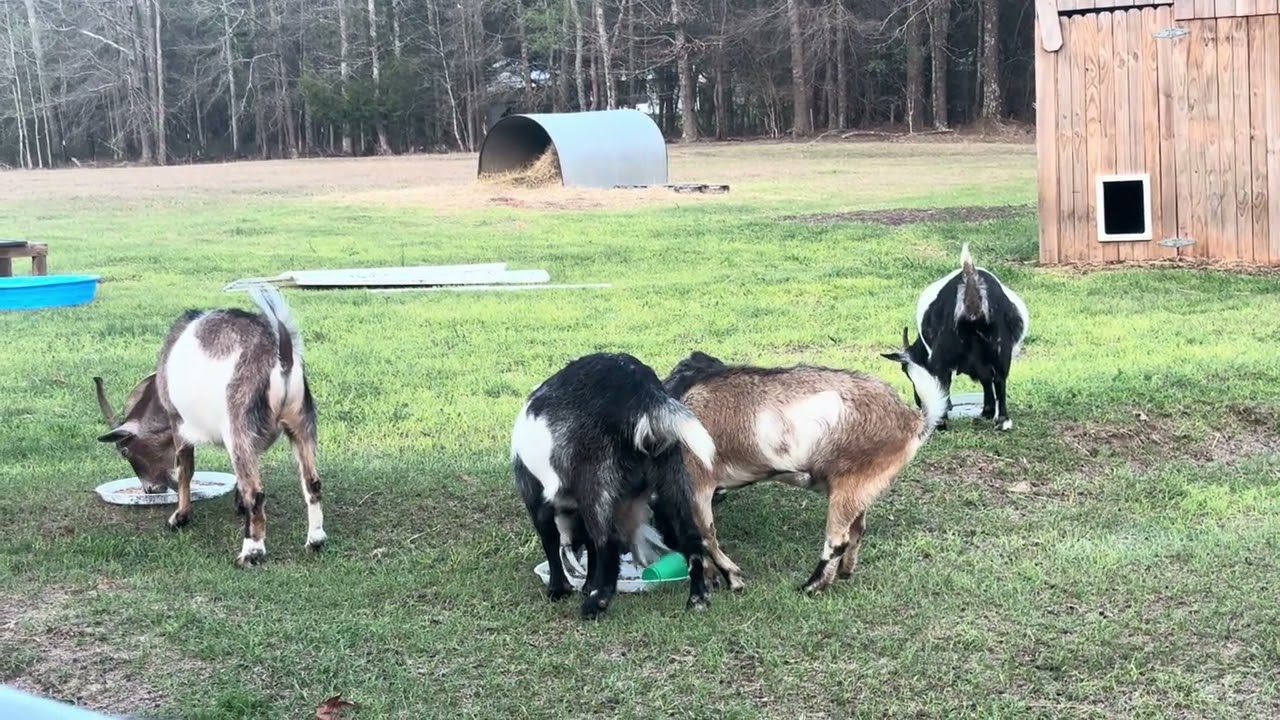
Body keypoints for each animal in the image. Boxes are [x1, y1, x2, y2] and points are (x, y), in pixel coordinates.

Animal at [93, 285, 325, 568]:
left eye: (125, 451)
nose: (150, 489)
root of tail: (282, 355)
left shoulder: (179, 424)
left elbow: (185, 470)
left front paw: (179, 517)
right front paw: (237, 505)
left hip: (238, 425)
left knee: (256, 492)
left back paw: (252, 552)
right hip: (301, 422)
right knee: (312, 482)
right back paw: (315, 541)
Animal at [511, 352, 716, 619]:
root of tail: (642, 393)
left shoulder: (537, 501)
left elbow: (552, 541)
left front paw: (559, 589)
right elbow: (589, 546)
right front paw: (586, 584)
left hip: (596, 483)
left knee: (608, 544)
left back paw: (595, 604)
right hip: (672, 479)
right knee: (690, 536)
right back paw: (697, 598)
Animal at [660, 340, 947, 595]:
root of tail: (914, 420)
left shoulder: (697, 485)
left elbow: (705, 537)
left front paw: (734, 579)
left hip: (849, 483)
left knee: (837, 540)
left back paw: (811, 586)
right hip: (861, 487)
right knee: (857, 531)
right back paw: (844, 572)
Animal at [898, 243, 1030, 431]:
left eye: (905, 372)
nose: (919, 403)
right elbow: (986, 378)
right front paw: (987, 412)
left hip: (944, 351)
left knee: (945, 380)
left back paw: (941, 422)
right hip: (1000, 347)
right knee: (999, 378)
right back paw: (1002, 420)